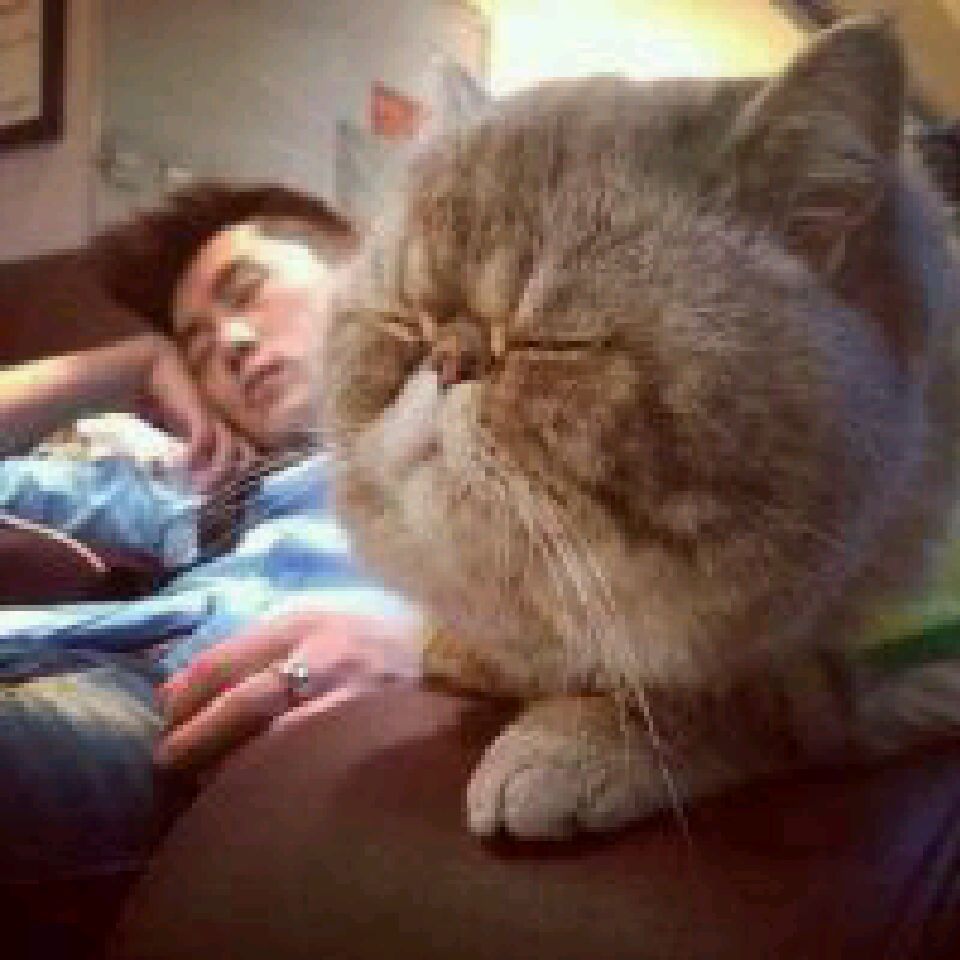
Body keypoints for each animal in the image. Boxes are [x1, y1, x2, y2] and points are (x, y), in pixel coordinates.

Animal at [321, 17, 960, 840]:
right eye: (407, 323)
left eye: (553, 344)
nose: (449, 356)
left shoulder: (890, 659)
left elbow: (741, 695)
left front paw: (573, 741)